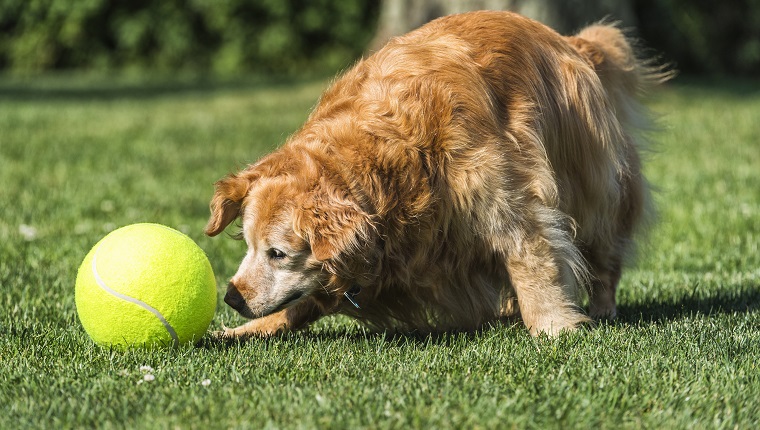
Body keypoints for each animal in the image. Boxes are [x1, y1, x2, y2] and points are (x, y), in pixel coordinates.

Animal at [205, 10, 668, 338]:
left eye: (278, 253)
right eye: (248, 245)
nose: (230, 297)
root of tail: (571, 43)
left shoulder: (508, 199)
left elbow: (531, 258)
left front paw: (554, 327)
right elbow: (305, 301)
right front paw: (241, 332)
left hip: (597, 187)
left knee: (604, 252)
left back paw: (601, 307)